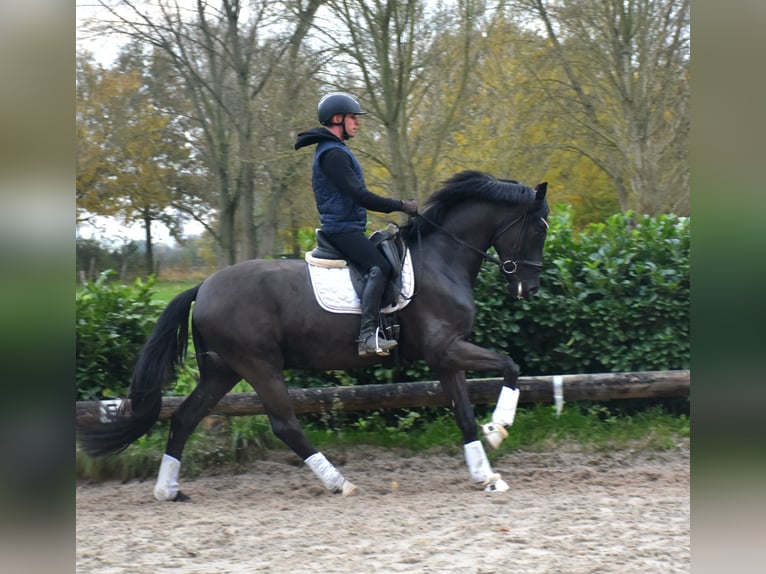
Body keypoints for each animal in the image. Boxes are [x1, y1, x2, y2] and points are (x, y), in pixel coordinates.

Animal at [78, 170, 548, 500]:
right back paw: (340, 482)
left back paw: (168, 490)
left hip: (222, 370)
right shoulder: (446, 349)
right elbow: (510, 366)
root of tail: (203, 286)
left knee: (184, 418)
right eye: (540, 228)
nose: (529, 289)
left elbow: (464, 413)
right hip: (259, 365)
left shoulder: (445, 357)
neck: (442, 259)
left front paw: (486, 475)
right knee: (285, 425)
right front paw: (499, 427)